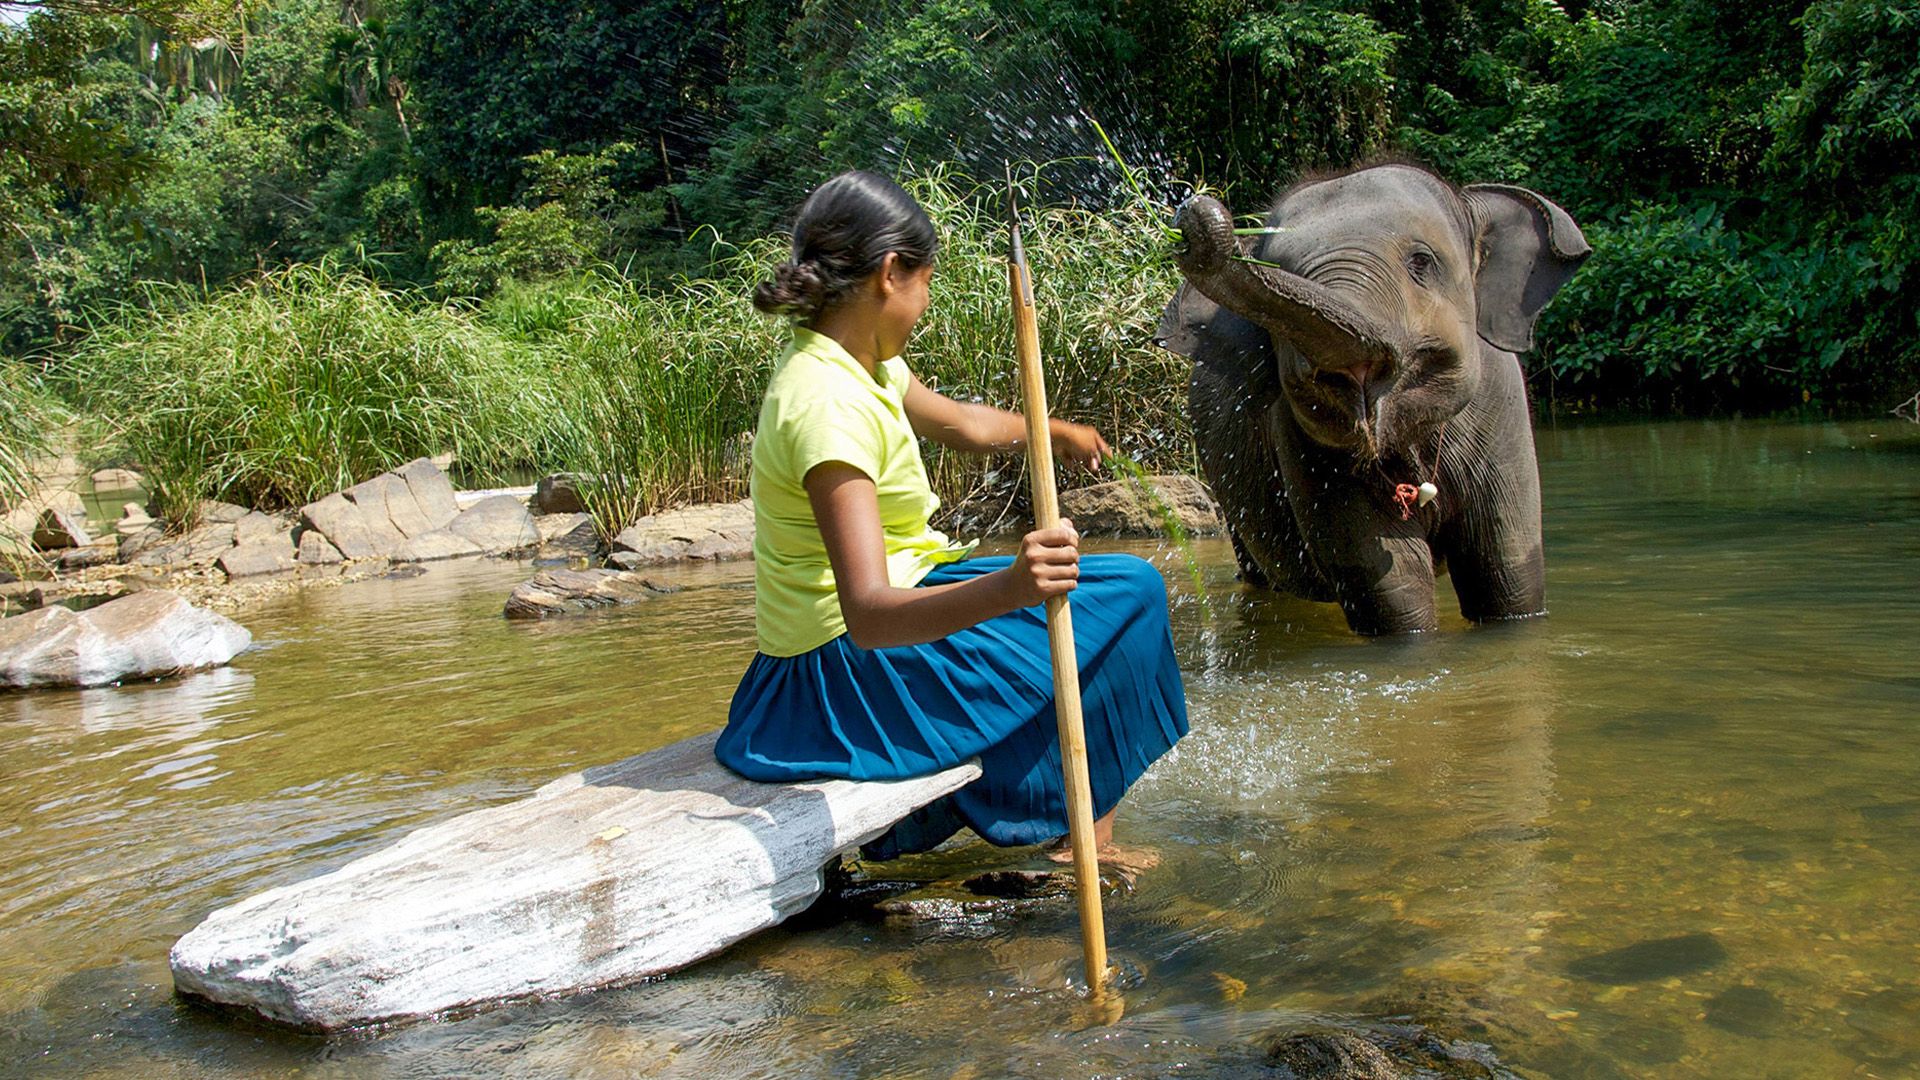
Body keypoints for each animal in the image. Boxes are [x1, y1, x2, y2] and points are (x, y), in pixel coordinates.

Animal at [1152, 160, 1589, 630]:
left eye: (1421, 262)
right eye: (1279, 267)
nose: (1192, 209)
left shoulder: (1503, 417)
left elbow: (1506, 573)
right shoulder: (1298, 442)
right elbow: (1391, 582)